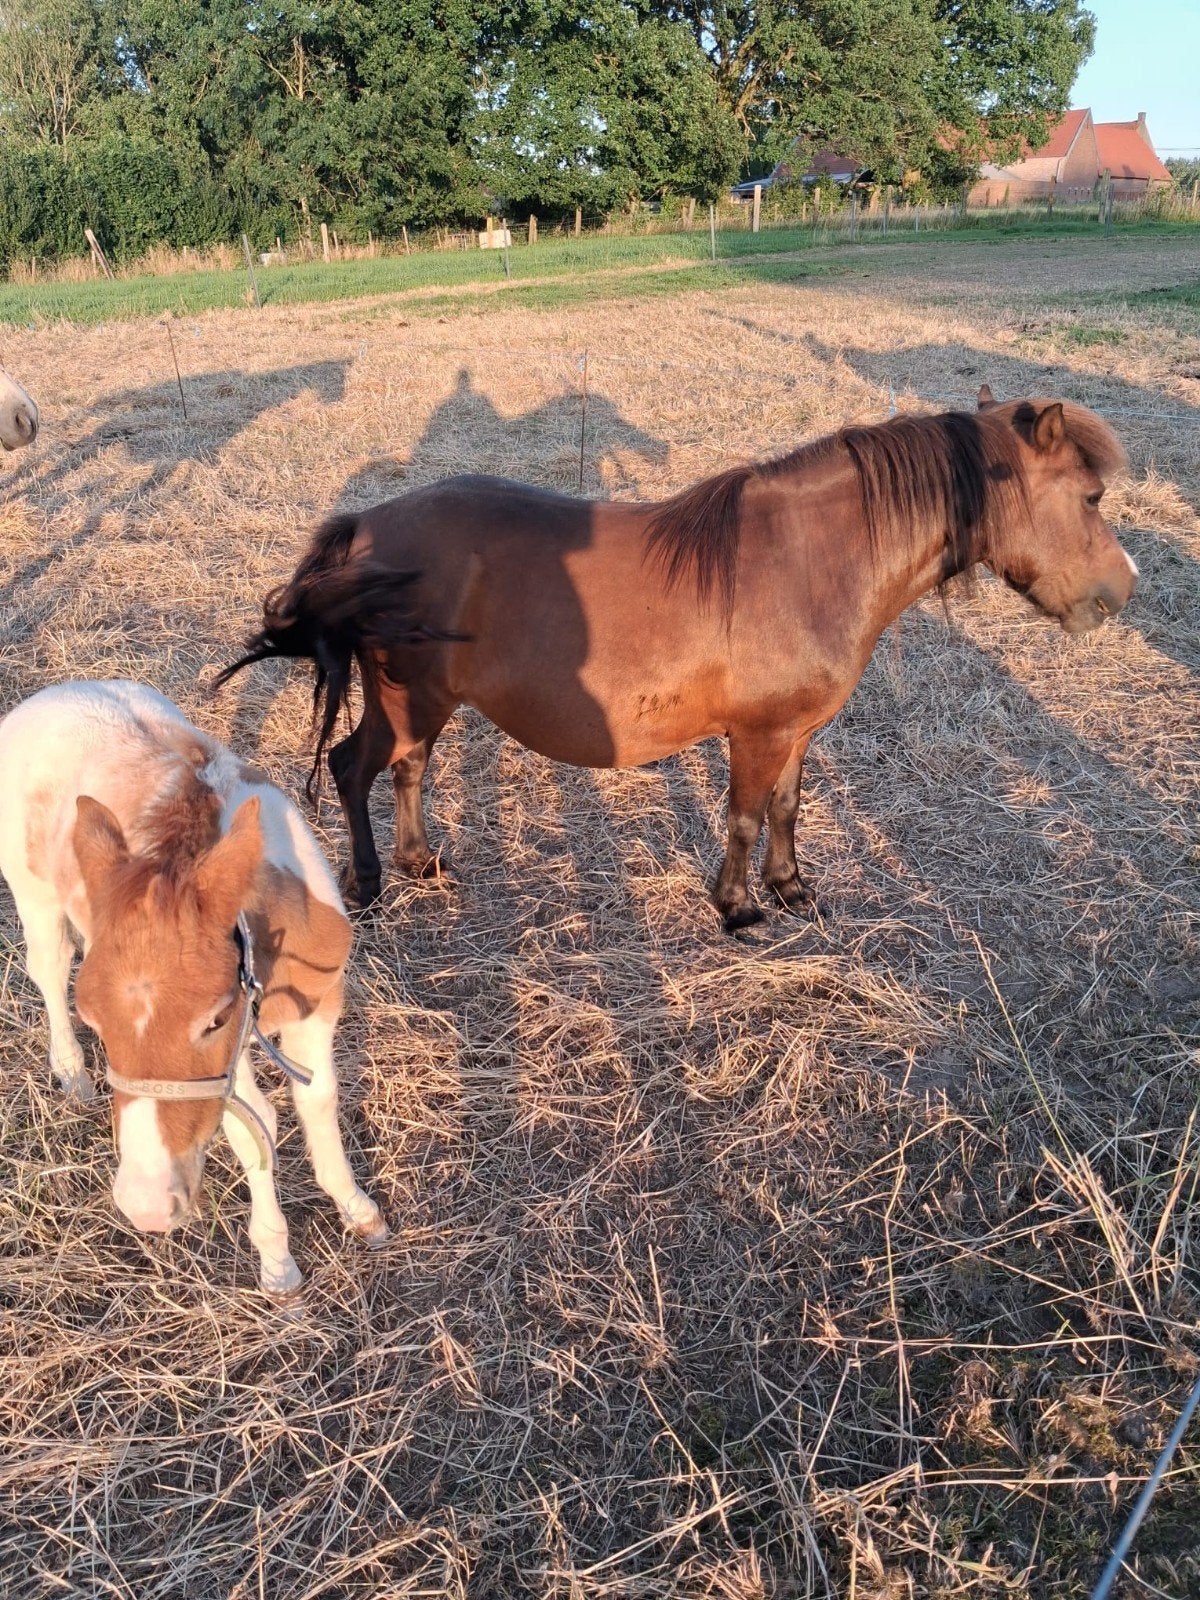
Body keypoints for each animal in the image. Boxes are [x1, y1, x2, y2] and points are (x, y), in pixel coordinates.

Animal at [0, 680, 390, 1300]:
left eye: (213, 1018)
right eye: (97, 1023)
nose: (147, 1206)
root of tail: (53, 694)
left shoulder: (317, 1008)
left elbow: (318, 1099)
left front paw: (358, 1209)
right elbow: (254, 1124)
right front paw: (278, 1266)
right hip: (33, 894)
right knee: (50, 968)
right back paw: (72, 1075)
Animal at [220, 390, 1137, 932]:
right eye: (1090, 496)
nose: (1122, 590)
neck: (811, 559)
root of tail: (367, 527)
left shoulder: (797, 731)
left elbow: (785, 810)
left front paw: (792, 889)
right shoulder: (757, 735)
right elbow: (742, 817)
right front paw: (737, 909)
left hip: (425, 704)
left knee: (408, 769)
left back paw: (422, 862)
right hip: (407, 700)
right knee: (353, 769)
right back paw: (370, 885)